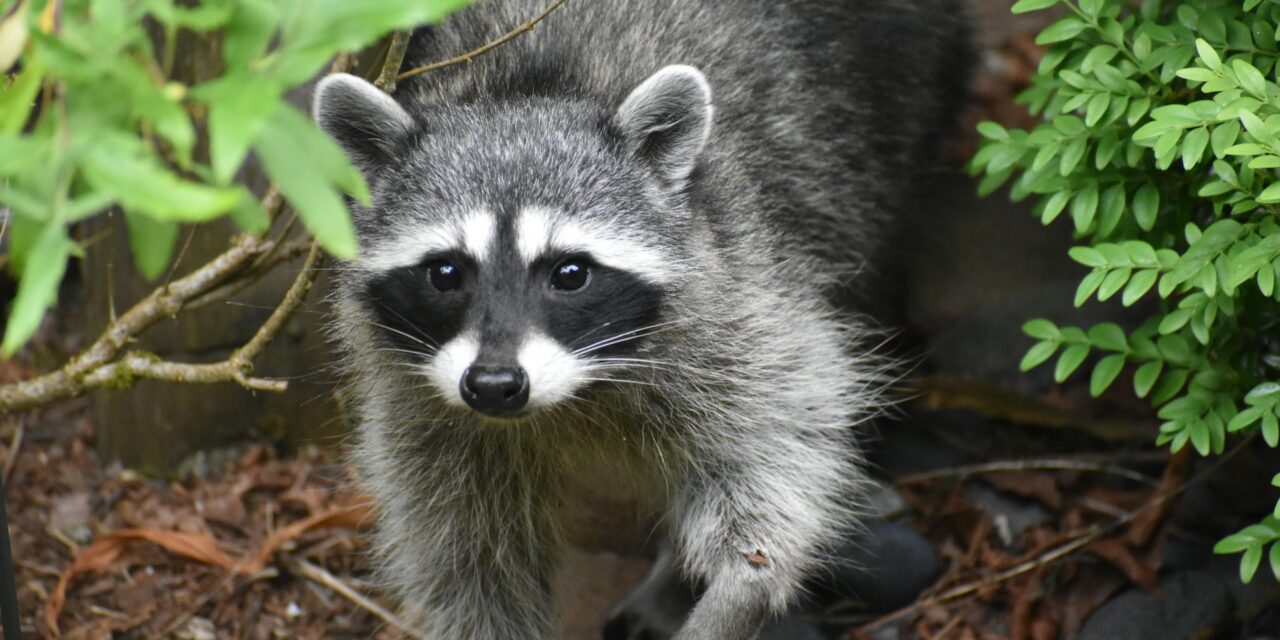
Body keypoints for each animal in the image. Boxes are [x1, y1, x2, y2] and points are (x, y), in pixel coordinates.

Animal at [314, 1, 967, 638]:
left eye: (570, 273)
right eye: (446, 273)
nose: (495, 385)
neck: (524, 90)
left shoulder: (741, 296)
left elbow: (779, 441)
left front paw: (739, 587)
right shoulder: (423, 407)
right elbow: (464, 553)